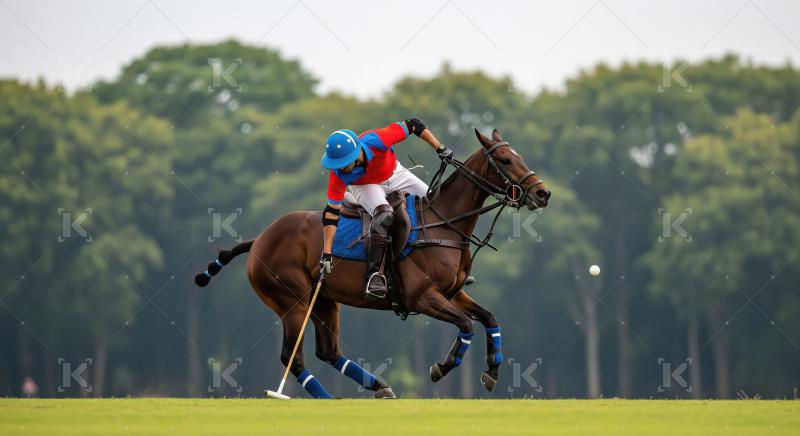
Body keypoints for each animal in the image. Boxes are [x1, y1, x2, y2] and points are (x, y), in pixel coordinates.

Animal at [194, 128, 551, 398]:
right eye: (505, 160)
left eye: (518, 156)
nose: (542, 193)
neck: (445, 223)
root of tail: (259, 239)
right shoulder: (422, 297)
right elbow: (465, 325)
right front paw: (442, 367)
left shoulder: (453, 292)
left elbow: (489, 318)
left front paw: (492, 371)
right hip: (291, 302)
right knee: (292, 358)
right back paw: (326, 398)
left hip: (324, 301)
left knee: (328, 351)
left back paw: (378, 386)